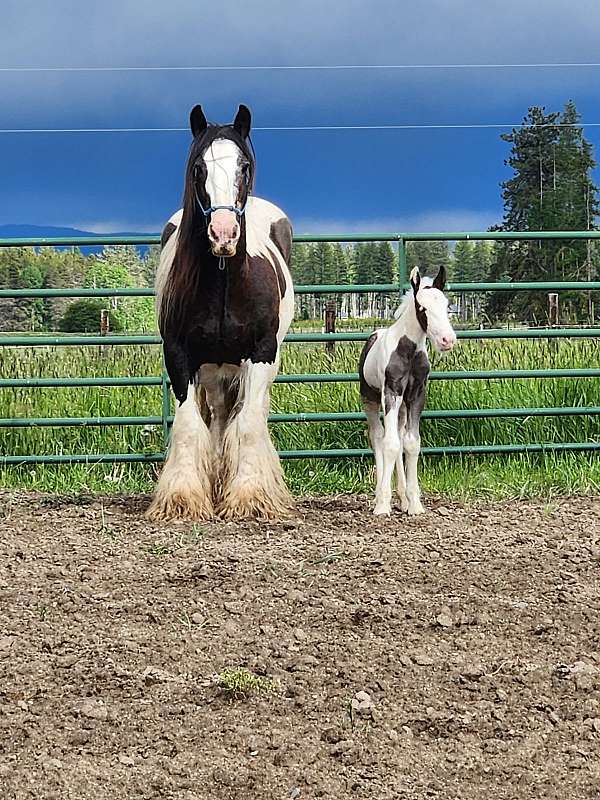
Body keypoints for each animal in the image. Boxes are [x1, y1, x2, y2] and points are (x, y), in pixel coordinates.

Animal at [146, 104, 295, 522]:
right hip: (214, 369)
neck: (227, 282)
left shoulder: (261, 355)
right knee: (215, 418)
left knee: (247, 415)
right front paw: (183, 498)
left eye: (244, 165)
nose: (223, 234)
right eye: (199, 167)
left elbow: (247, 426)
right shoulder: (179, 355)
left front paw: (249, 496)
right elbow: (187, 427)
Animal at [358, 266, 456, 516]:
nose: (448, 340)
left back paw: (402, 498)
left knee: (400, 436)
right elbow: (390, 444)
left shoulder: (416, 395)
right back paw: (379, 496)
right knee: (378, 436)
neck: (408, 352)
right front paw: (383, 504)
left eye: (446, 305)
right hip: (370, 398)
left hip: (402, 405)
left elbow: (411, 443)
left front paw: (415, 504)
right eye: (423, 308)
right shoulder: (391, 392)